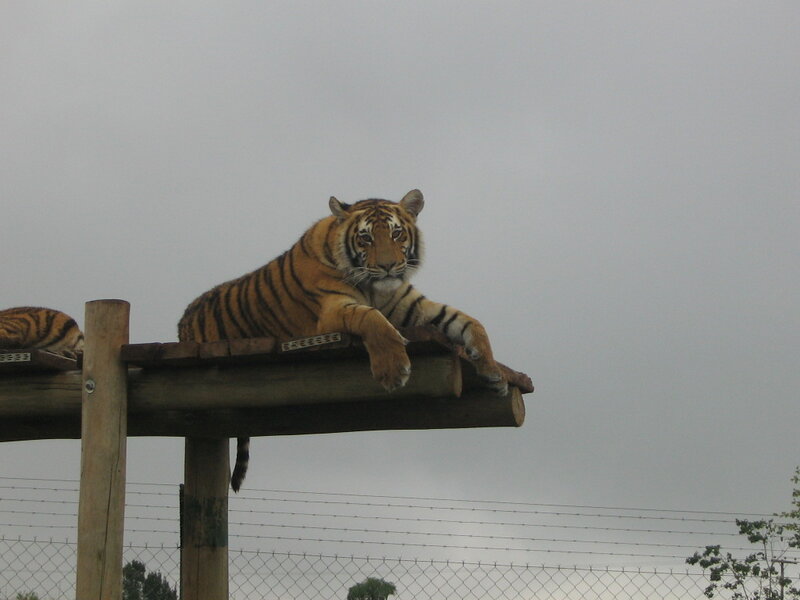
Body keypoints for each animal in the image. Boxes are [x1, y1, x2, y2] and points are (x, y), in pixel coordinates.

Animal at [178, 189, 507, 492]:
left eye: (396, 233)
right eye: (366, 238)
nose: (388, 266)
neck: (377, 288)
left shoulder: (415, 306)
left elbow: (470, 322)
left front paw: (494, 373)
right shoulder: (332, 311)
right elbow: (374, 320)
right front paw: (392, 371)